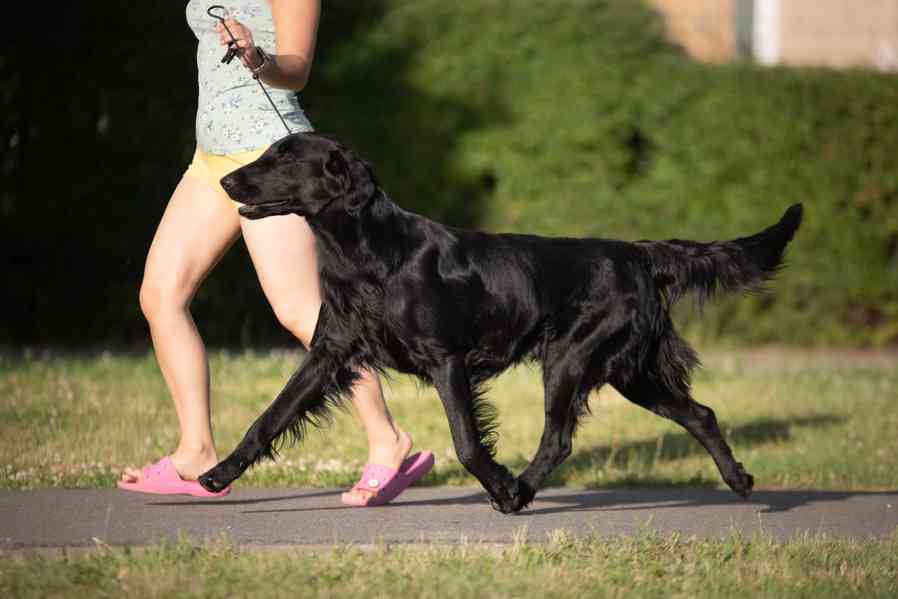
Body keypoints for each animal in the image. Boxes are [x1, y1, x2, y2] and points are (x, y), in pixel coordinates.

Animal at [200, 132, 800, 516]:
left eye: (284, 157)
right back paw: (739, 479)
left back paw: (520, 493)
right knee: (700, 413)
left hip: (570, 358)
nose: (226, 180)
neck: (370, 252)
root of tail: (637, 251)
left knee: (559, 439)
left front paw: (501, 485)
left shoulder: (446, 358)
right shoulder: (330, 350)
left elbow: (467, 442)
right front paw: (218, 474)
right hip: (631, 372)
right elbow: (270, 417)